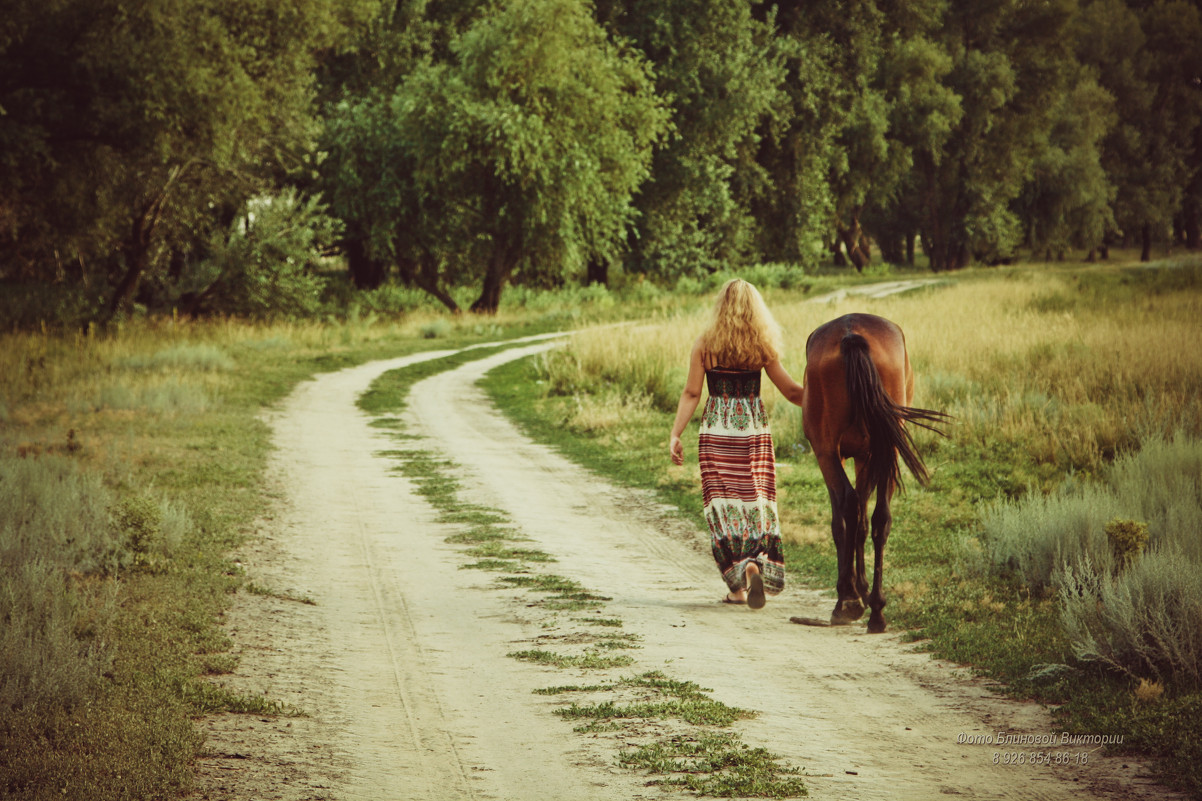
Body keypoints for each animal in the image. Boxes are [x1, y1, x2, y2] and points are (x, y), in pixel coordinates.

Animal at [802, 312, 942, 630]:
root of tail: (851, 334)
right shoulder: (865, 456)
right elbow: (864, 521)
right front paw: (863, 589)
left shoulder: (836, 455)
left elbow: (842, 523)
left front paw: (854, 590)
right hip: (887, 450)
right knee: (880, 519)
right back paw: (876, 609)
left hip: (828, 452)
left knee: (849, 506)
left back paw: (848, 601)